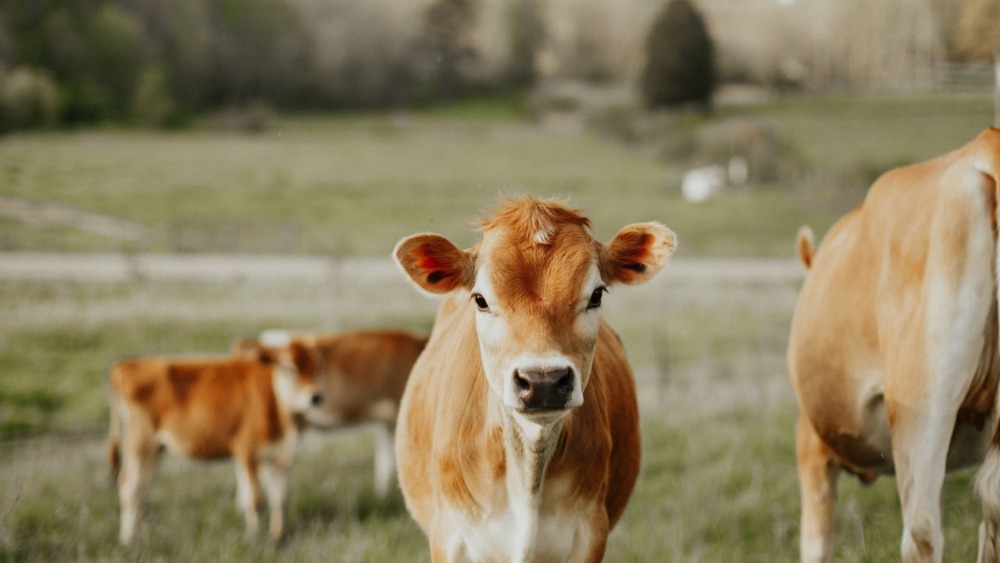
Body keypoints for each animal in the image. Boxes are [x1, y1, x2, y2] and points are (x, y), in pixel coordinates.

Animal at [106, 341, 331, 545]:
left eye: (317, 368)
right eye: (289, 369)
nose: (316, 397)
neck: (276, 403)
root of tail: (127, 365)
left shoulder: (279, 456)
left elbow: (280, 498)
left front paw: (278, 536)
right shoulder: (247, 452)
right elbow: (255, 499)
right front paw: (254, 537)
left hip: (155, 450)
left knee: (144, 488)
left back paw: (143, 533)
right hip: (140, 444)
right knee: (130, 486)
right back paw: (128, 540)